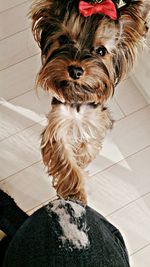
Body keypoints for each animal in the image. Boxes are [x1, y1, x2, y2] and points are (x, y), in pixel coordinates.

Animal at [29, 1, 149, 204]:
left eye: (101, 51)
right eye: (63, 40)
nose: (75, 70)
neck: (78, 93)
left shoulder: (97, 119)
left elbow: (90, 144)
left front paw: (81, 158)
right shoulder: (59, 121)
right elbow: (64, 156)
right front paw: (75, 194)